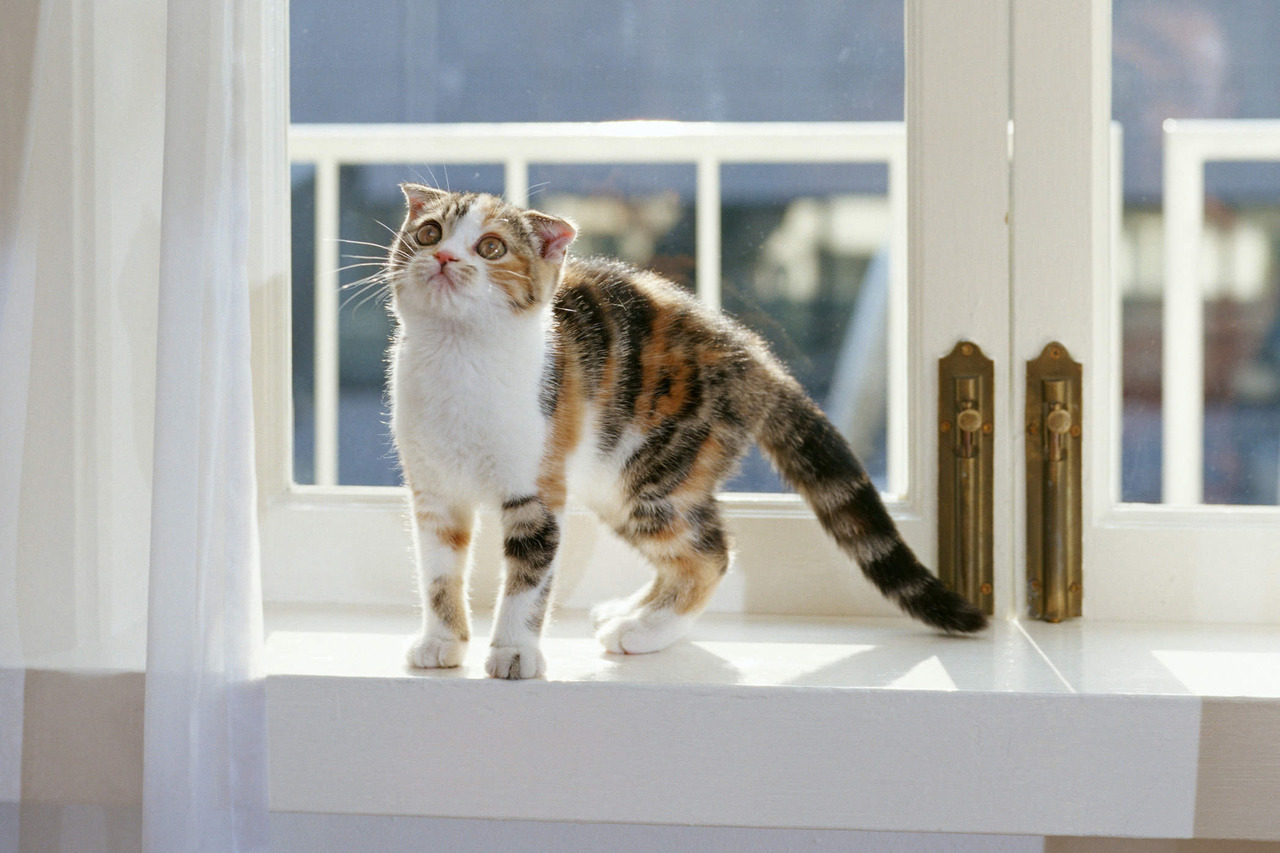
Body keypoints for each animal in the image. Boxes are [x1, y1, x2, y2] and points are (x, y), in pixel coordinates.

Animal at [384, 183, 983, 676]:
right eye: (429, 232)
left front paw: (513, 651)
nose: (443, 256)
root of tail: (755, 355)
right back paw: (630, 613)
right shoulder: (434, 495)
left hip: (653, 470)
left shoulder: (537, 490)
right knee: (686, 551)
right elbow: (438, 573)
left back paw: (643, 631)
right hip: (613, 481)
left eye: (490, 248)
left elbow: (529, 581)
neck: (458, 360)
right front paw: (442, 642)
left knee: (711, 555)